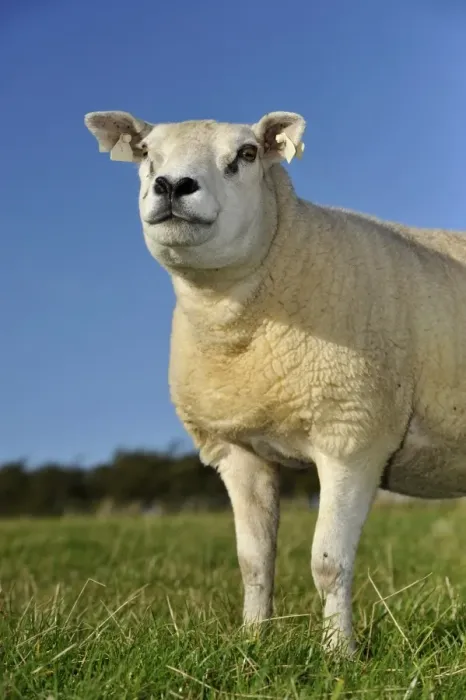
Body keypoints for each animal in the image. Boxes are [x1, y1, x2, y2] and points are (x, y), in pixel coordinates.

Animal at [84, 109, 466, 654]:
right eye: (145, 153)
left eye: (246, 154)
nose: (173, 186)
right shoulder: (240, 449)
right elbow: (253, 560)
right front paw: (252, 642)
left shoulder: (352, 436)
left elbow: (328, 563)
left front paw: (339, 654)